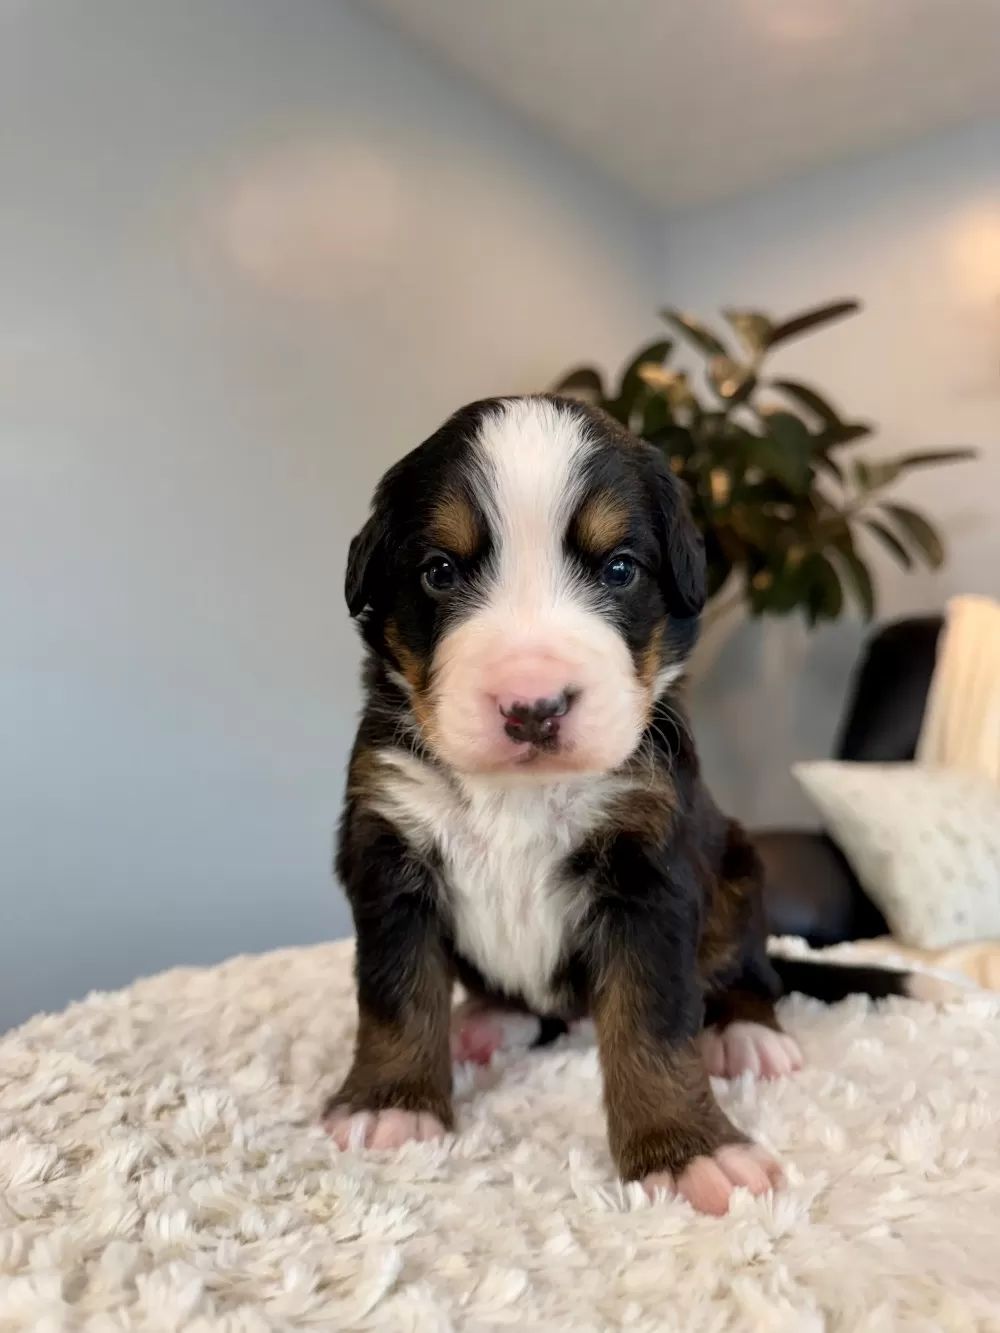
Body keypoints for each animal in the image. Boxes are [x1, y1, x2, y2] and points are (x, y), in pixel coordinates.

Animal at [325, 391, 938, 1221]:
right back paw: (488, 1020)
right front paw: (390, 1102)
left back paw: (746, 1037)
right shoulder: (391, 846)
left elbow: (654, 1023)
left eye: (619, 568)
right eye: (439, 571)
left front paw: (688, 1149)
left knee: (751, 973)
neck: (520, 794)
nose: (533, 706)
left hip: (737, 870)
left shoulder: (649, 870)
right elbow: (395, 992)